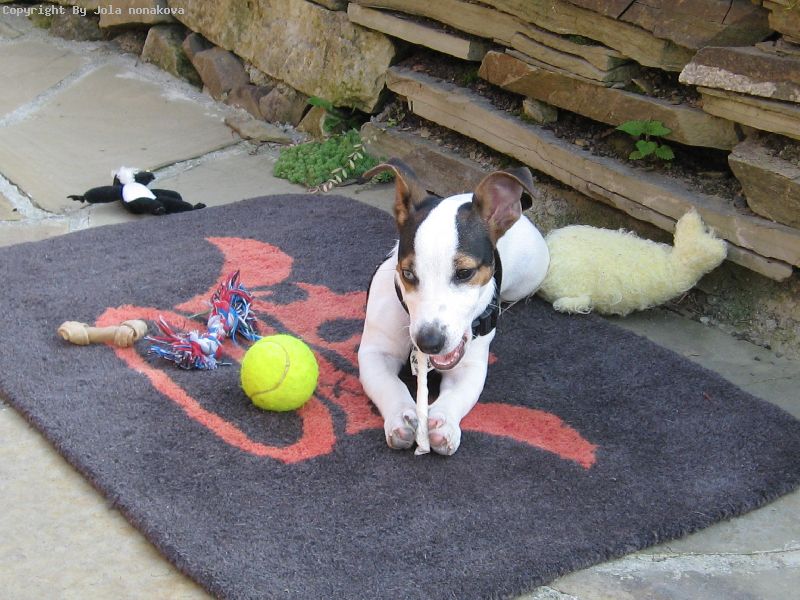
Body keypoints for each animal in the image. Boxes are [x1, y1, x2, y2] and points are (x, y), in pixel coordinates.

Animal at [358, 159, 550, 455]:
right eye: (408, 273)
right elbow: (388, 384)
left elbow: (457, 395)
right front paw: (401, 415)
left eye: (465, 273)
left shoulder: (469, 367)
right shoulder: (375, 353)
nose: (429, 342)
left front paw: (444, 421)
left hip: (531, 276)